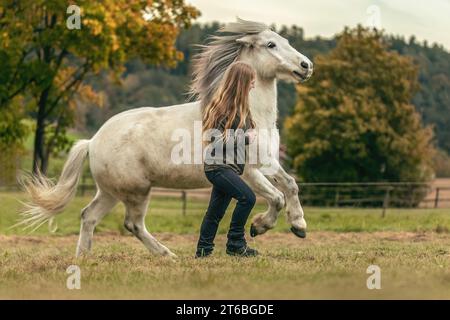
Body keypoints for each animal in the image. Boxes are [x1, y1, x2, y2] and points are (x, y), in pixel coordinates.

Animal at [20, 16, 312, 258]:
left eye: (287, 41)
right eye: (271, 44)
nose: (306, 65)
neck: (249, 112)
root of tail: (92, 141)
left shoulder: (268, 163)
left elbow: (290, 185)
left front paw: (297, 225)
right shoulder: (249, 171)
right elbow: (277, 196)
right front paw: (263, 226)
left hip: (110, 192)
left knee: (88, 216)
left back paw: (84, 257)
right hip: (136, 191)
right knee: (132, 224)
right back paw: (167, 255)